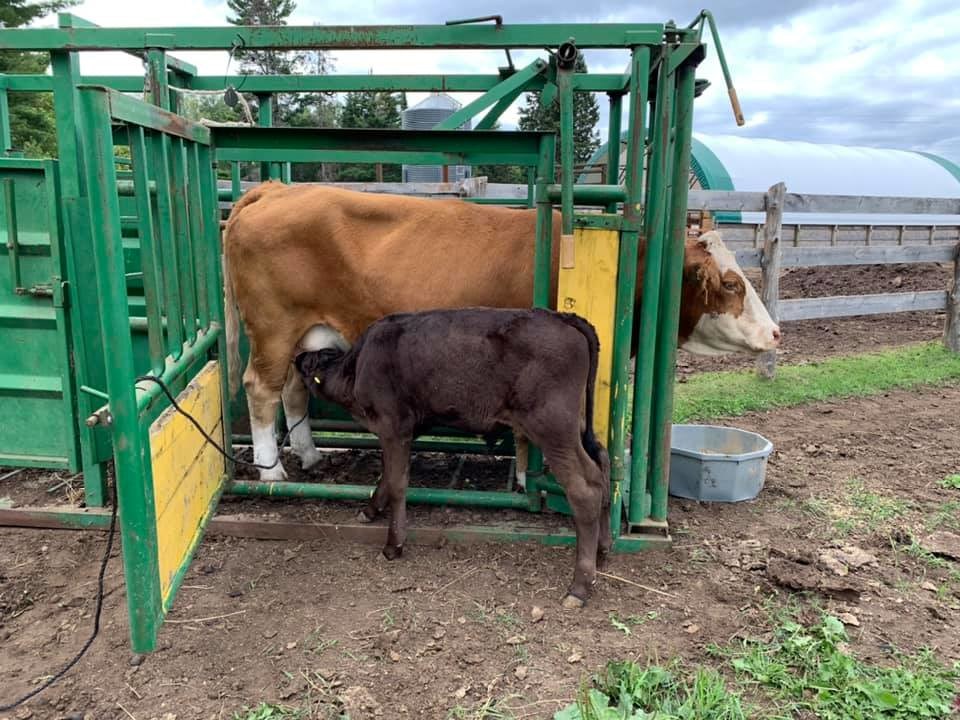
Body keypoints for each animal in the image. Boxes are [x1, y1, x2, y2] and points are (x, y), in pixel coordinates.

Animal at [225, 183, 780, 480]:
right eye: (731, 283)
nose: (775, 333)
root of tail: (280, 188)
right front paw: (525, 477)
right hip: (274, 327)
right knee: (260, 389)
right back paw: (271, 469)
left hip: (307, 333)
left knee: (293, 390)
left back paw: (310, 455)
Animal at [292, 306, 612, 604]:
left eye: (309, 361)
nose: (296, 358)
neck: (356, 367)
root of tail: (563, 317)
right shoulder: (399, 432)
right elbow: (387, 475)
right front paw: (370, 510)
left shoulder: (393, 426)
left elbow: (397, 484)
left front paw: (393, 544)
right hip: (578, 427)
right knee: (602, 464)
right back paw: (603, 548)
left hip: (552, 427)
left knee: (585, 488)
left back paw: (579, 586)